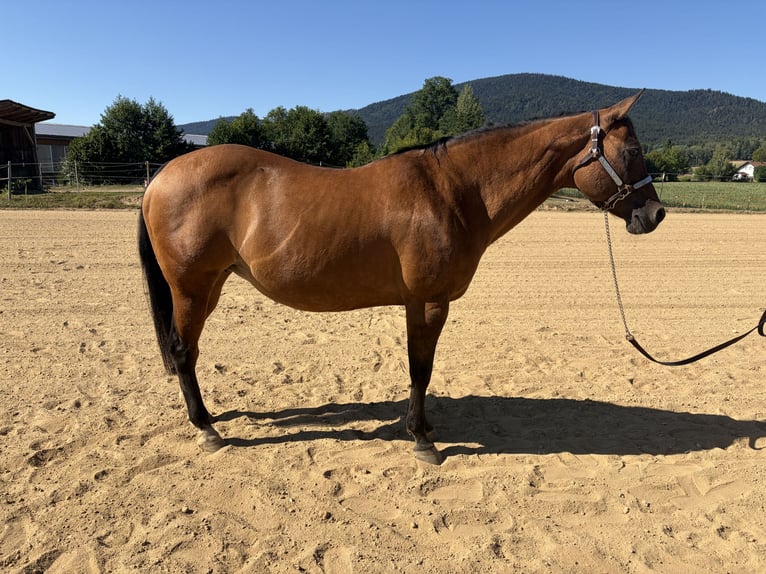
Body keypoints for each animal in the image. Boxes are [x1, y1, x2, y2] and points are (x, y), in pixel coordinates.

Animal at [137, 92, 665, 464]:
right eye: (633, 150)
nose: (655, 214)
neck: (454, 190)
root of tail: (161, 175)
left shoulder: (419, 302)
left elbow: (419, 369)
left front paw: (423, 430)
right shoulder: (429, 301)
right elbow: (420, 370)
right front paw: (421, 440)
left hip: (210, 287)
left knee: (190, 354)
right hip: (191, 288)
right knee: (183, 351)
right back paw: (208, 430)